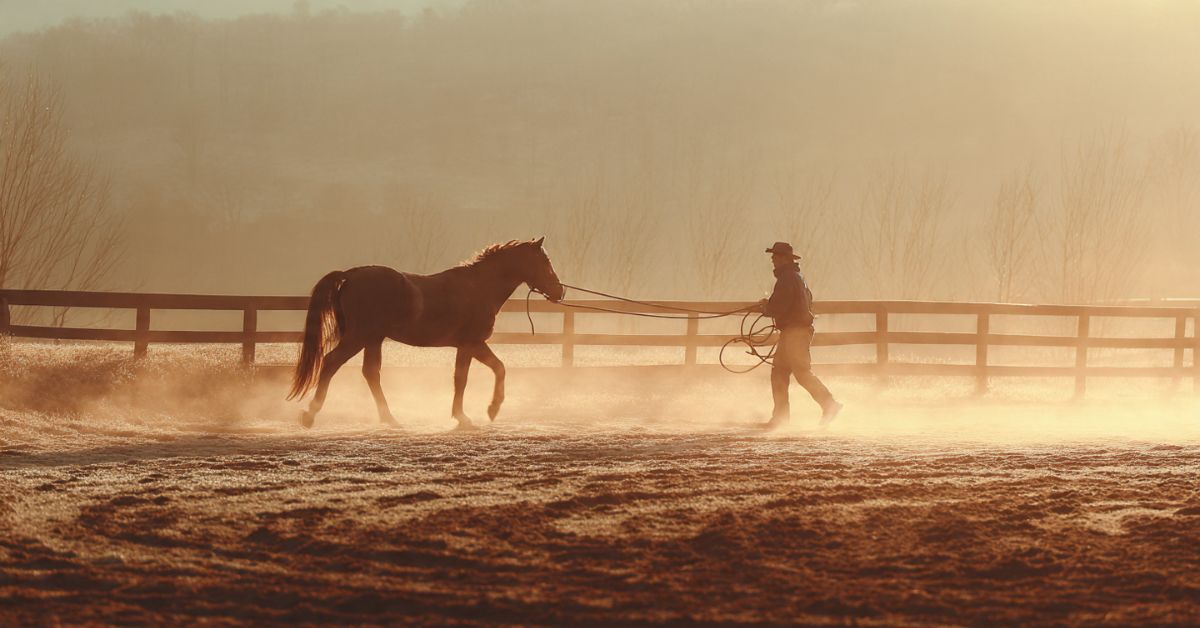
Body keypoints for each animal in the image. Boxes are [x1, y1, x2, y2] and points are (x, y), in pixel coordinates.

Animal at [288, 237, 564, 429]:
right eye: (545, 263)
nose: (559, 291)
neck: (479, 287)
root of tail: (351, 275)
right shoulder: (470, 343)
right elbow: (470, 376)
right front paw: (476, 413)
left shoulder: (471, 345)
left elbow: (491, 370)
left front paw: (482, 411)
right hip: (358, 337)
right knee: (330, 363)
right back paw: (310, 415)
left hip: (373, 339)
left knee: (371, 373)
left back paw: (390, 418)